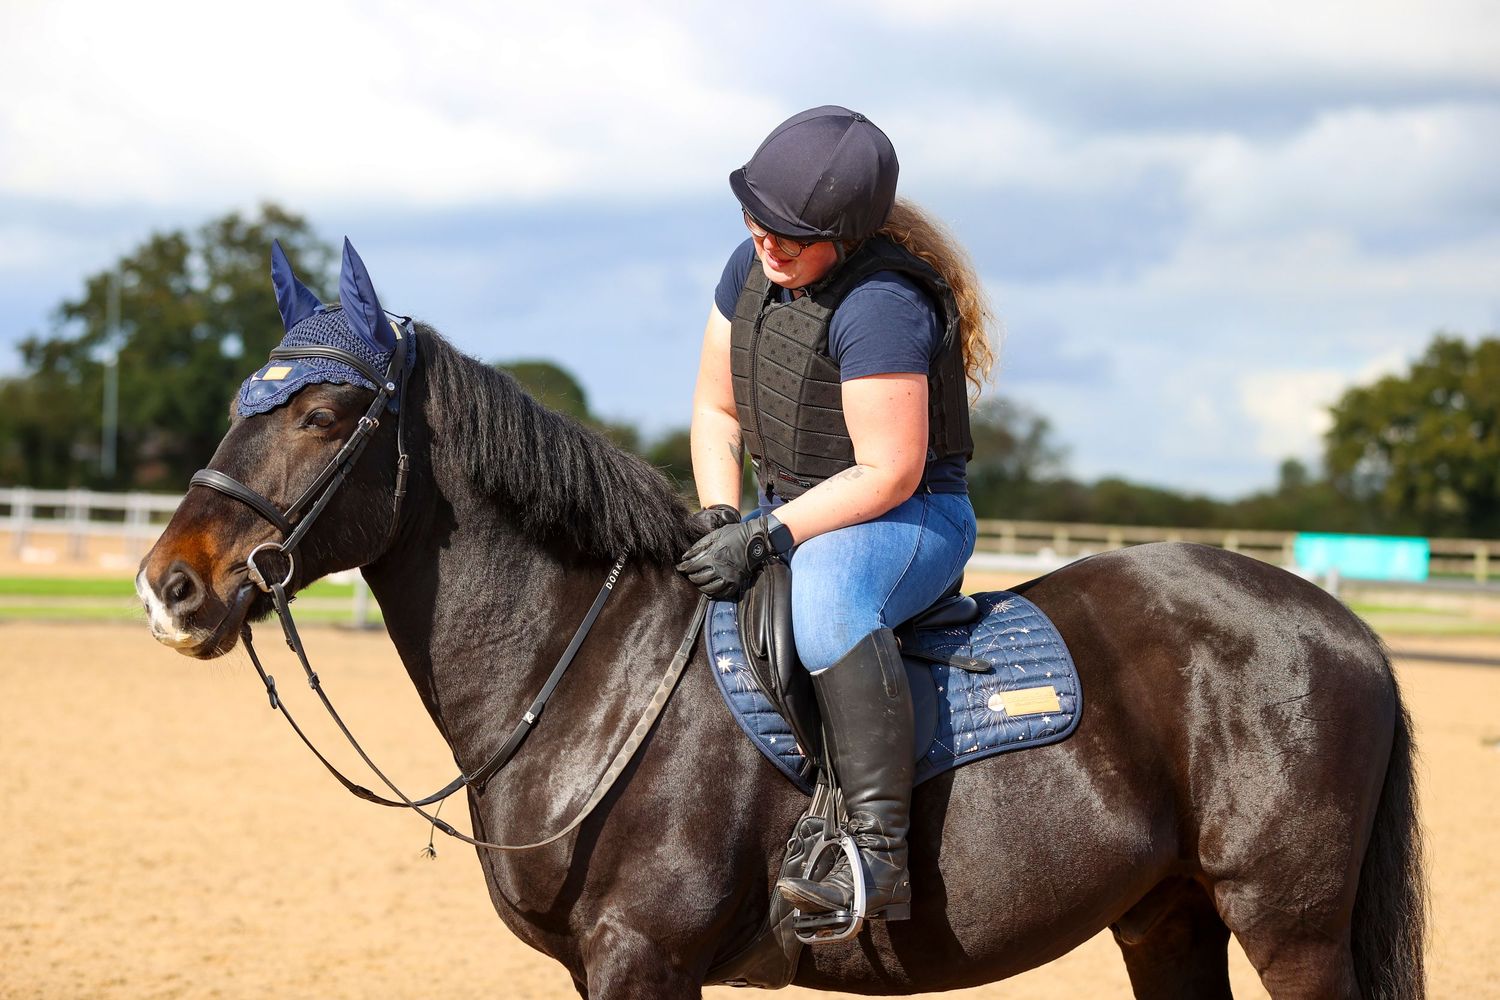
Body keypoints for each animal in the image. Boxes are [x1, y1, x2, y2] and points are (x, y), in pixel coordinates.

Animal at [138, 246, 1425, 999]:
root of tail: (1347, 631)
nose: (168, 585)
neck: (588, 672)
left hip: (1289, 925)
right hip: (1167, 919)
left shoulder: (642, 958)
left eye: (319, 413)